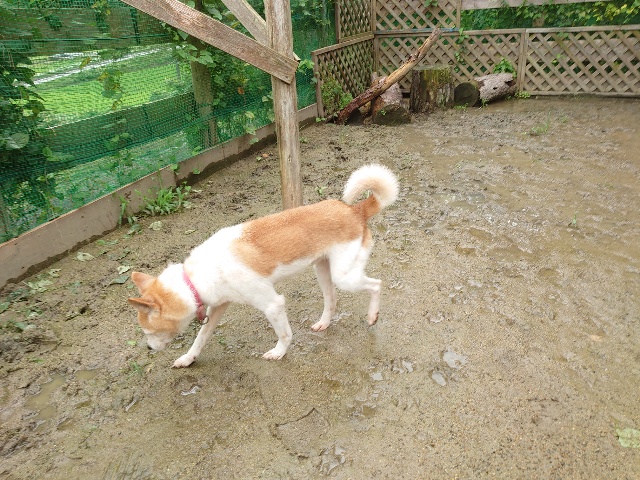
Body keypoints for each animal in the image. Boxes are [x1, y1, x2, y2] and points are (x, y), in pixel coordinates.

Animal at [128, 164, 399, 367]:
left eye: (148, 332)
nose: (149, 348)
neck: (194, 279)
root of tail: (355, 210)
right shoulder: (218, 307)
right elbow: (200, 338)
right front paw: (187, 358)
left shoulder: (272, 305)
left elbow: (284, 333)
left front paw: (279, 352)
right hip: (322, 270)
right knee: (331, 300)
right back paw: (323, 323)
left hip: (345, 277)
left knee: (376, 284)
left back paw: (372, 315)